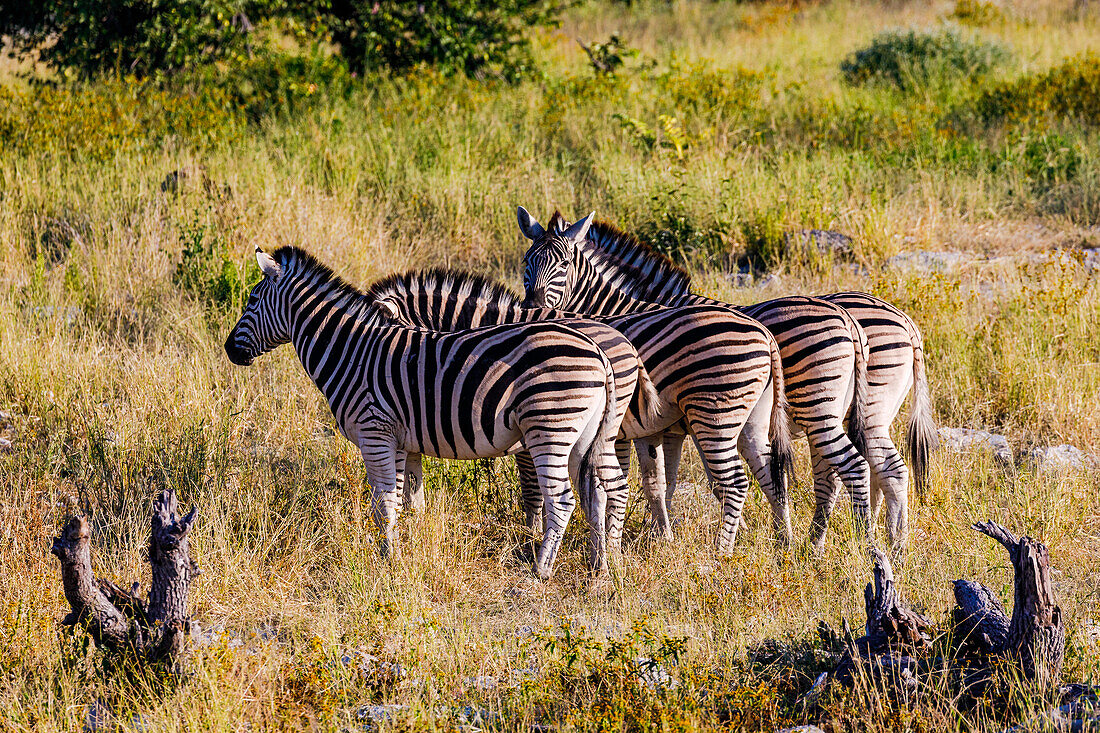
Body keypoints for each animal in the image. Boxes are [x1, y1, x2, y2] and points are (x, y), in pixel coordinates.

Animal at [221, 245, 629, 576]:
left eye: (252, 300)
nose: (228, 350)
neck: (352, 352)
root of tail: (598, 350)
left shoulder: (375, 433)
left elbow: (384, 504)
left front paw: (389, 561)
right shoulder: (406, 442)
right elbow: (411, 501)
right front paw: (415, 549)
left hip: (550, 429)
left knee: (562, 499)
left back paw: (540, 571)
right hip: (585, 436)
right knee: (599, 491)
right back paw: (600, 566)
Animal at [365, 259, 796, 550]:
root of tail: (762, 331)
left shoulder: (531, 432)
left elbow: (535, 490)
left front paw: (532, 537)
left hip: (715, 412)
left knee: (736, 482)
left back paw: (722, 553)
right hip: (752, 418)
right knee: (771, 474)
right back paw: (783, 544)